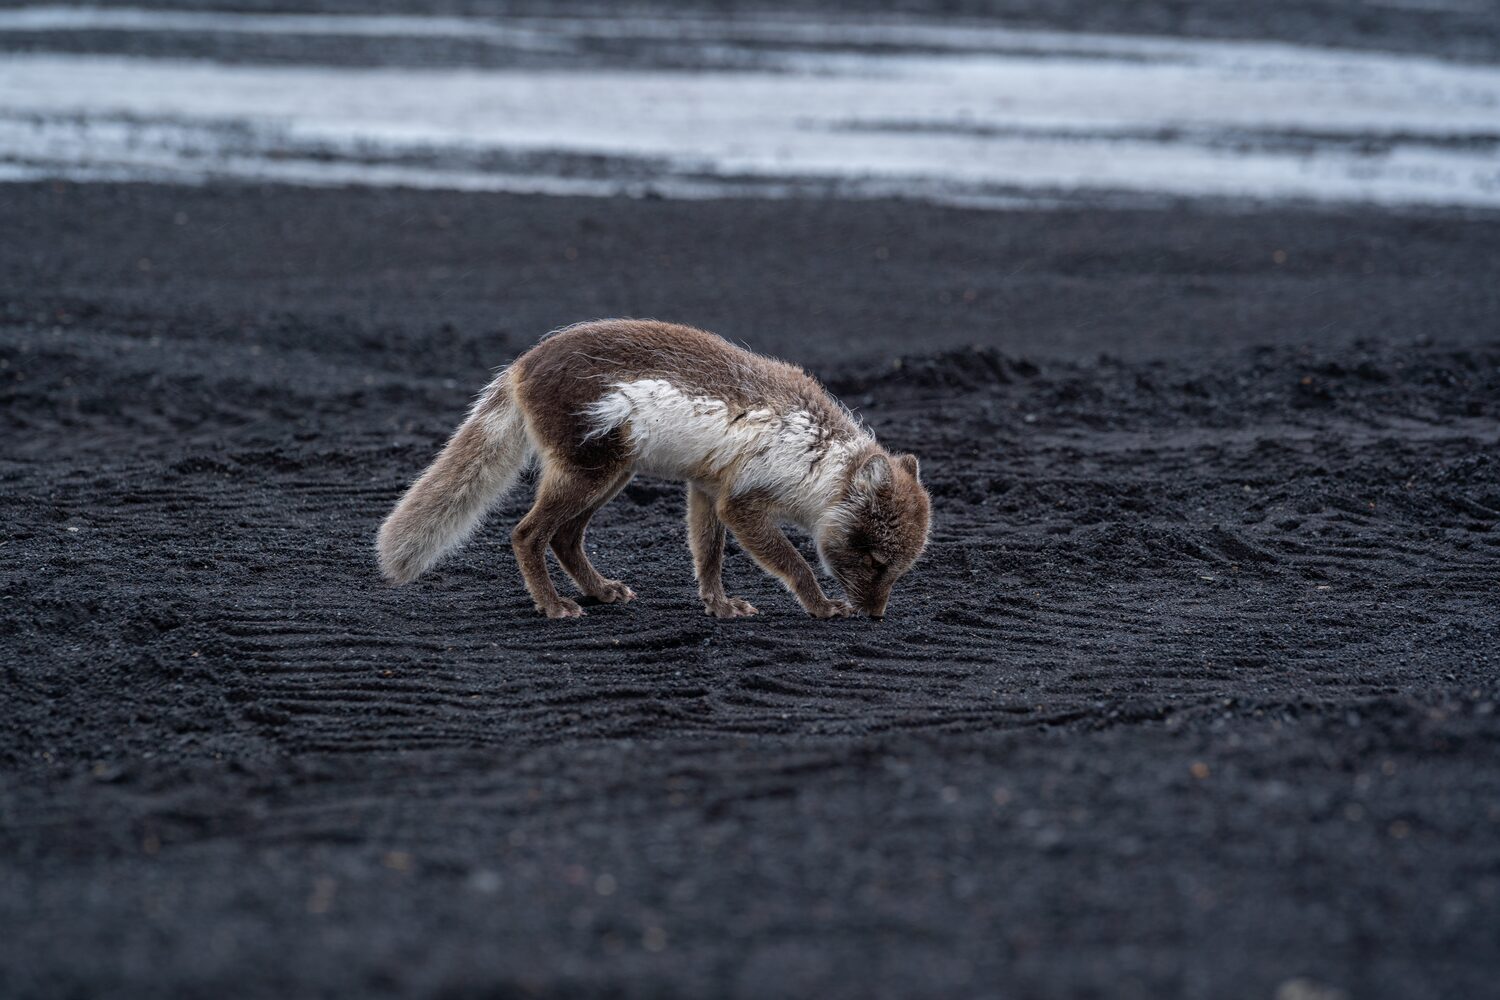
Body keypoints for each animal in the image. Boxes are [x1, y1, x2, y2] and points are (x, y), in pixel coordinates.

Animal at [376, 319, 931, 620]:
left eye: (900, 570)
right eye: (877, 562)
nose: (876, 617)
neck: (817, 454)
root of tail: (520, 365)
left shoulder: (707, 488)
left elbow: (707, 556)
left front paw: (718, 606)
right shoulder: (742, 502)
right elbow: (796, 564)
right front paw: (821, 606)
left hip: (611, 476)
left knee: (565, 537)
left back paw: (600, 591)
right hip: (590, 474)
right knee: (527, 534)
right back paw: (554, 605)